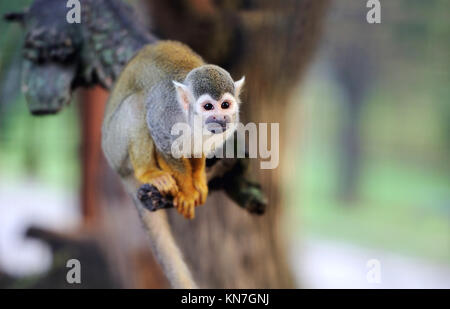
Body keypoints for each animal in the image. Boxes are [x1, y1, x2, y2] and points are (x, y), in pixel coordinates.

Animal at [101, 40, 244, 286]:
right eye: (208, 107)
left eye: (225, 105)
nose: (221, 119)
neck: (192, 121)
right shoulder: (165, 116)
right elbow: (164, 145)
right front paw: (186, 190)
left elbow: (197, 151)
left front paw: (199, 181)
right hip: (115, 146)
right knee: (138, 104)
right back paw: (148, 172)